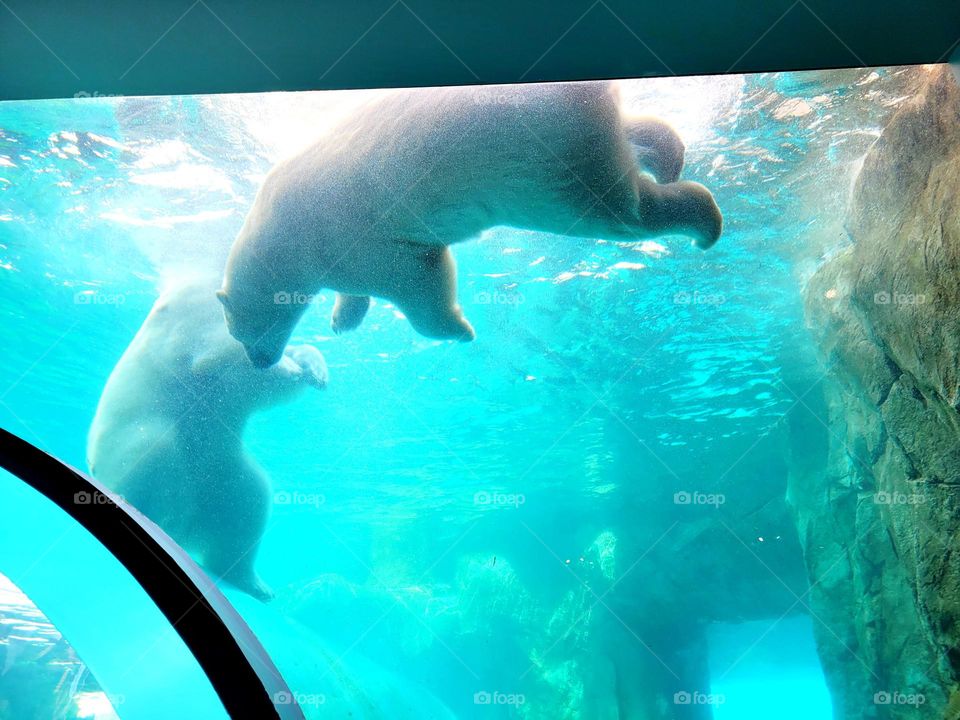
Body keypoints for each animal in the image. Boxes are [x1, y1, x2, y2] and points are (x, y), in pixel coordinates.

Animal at [87, 277, 328, 601]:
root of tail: (186, 528)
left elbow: (263, 388)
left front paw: (314, 368)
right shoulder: (189, 325)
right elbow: (225, 361)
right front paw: (289, 366)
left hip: (224, 473)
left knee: (249, 501)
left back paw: (255, 585)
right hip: (137, 438)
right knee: (155, 460)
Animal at [217, 80, 723, 367]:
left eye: (236, 331)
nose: (259, 363)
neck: (272, 233)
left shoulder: (347, 239)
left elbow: (419, 282)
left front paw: (461, 331)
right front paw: (344, 317)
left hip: (543, 166)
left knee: (622, 212)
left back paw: (704, 224)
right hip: (580, 135)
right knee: (631, 136)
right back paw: (671, 153)